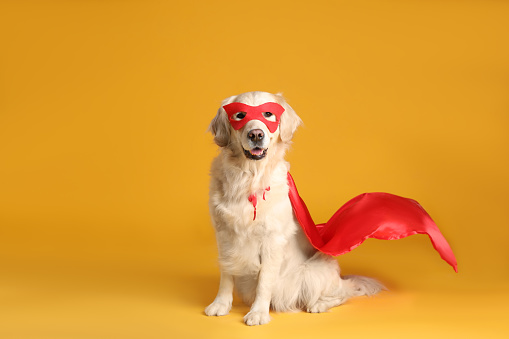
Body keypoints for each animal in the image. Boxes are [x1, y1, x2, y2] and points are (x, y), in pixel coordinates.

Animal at [202, 91, 380, 326]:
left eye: (268, 114)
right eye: (239, 115)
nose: (256, 134)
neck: (249, 177)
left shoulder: (272, 239)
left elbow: (264, 281)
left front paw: (258, 312)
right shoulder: (223, 234)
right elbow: (226, 272)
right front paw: (221, 304)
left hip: (313, 271)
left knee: (344, 293)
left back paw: (319, 304)